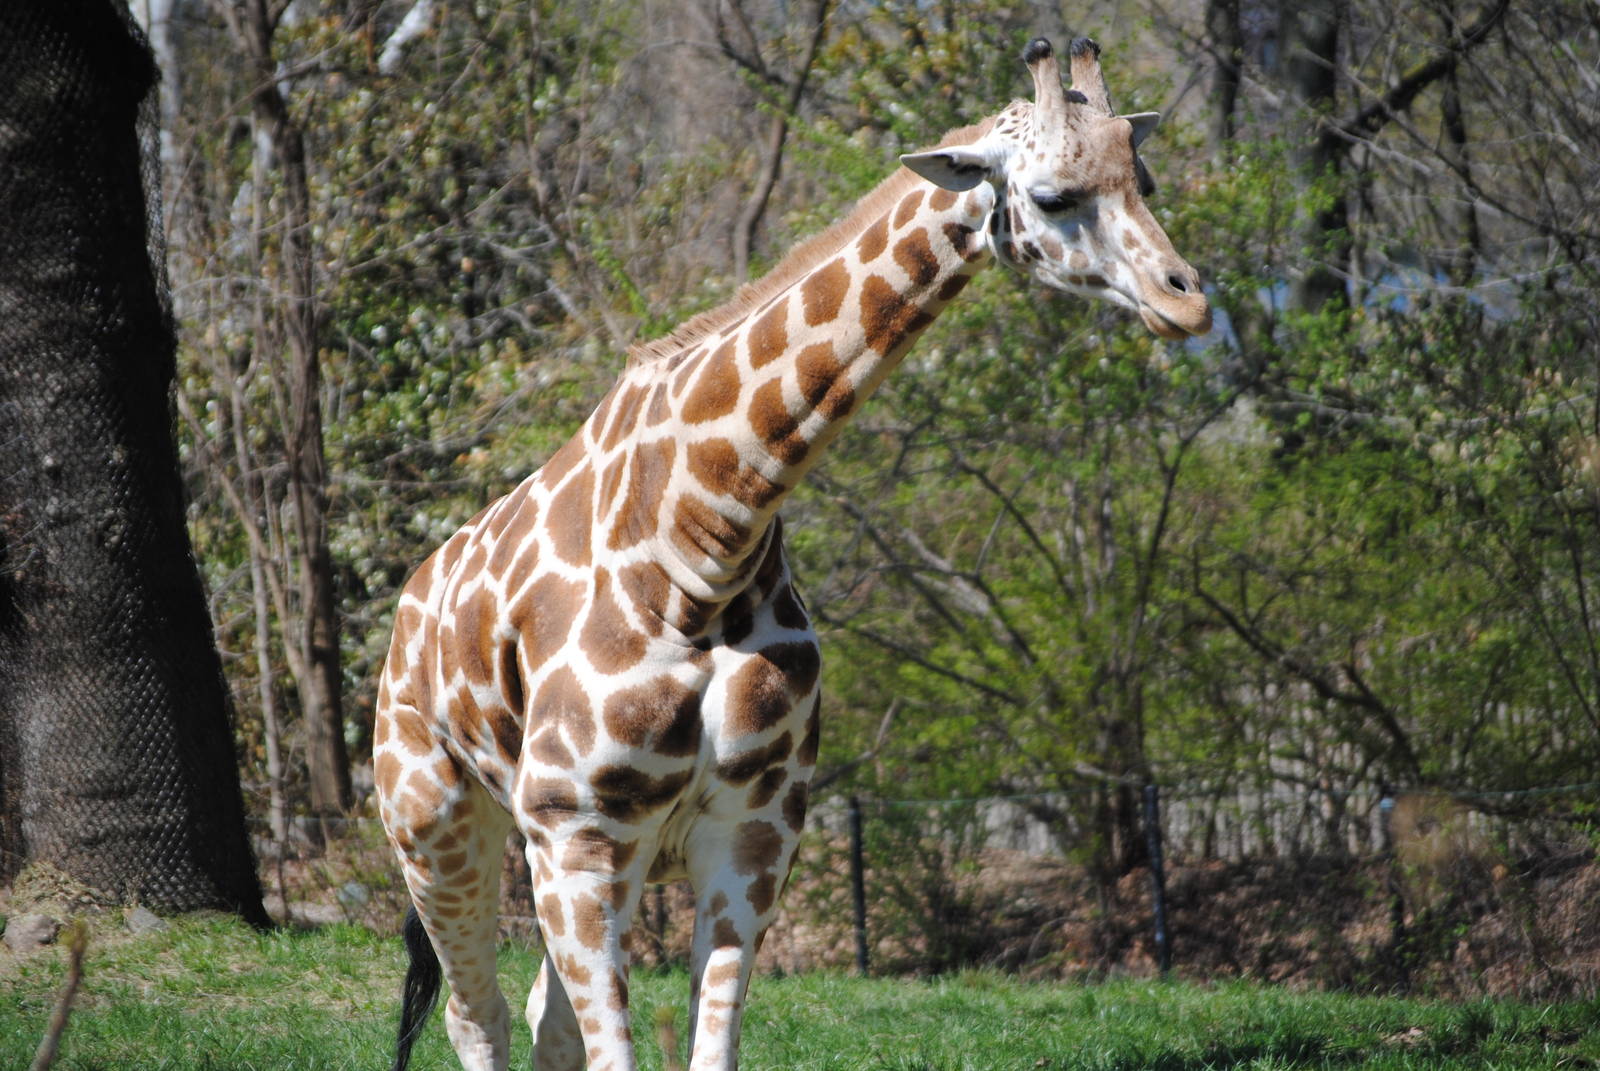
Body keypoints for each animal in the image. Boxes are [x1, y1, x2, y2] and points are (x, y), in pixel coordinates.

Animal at [375, 35, 1210, 1071]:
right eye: (1054, 196)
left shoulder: (753, 835)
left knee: (538, 1017)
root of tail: (405, 611)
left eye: (1143, 178)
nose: (1187, 300)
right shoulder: (579, 832)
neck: (702, 545)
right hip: (438, 821)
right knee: (473, 1010)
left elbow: (703, 1045)